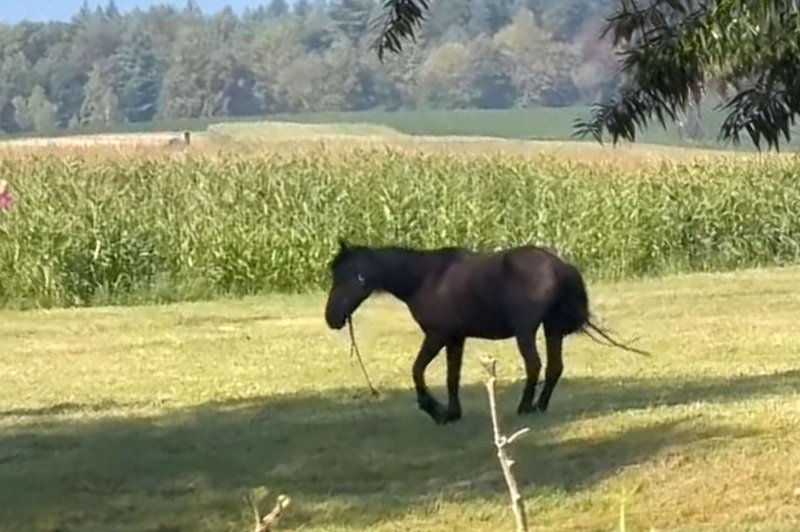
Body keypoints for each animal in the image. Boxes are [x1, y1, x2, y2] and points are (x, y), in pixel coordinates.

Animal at [324, 241, 644, 424]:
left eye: (349, 277)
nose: (331, 318)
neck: (427, 278)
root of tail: (558, 265)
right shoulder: (455, 339)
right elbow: (451, 377)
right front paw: (452, 413)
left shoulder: (437, 336)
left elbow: (417, 370)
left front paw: (433, 409)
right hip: (551, 329)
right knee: (554, 367)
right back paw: (539, 406)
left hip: (526, 332)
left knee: (535, 365)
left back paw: (525, 407)